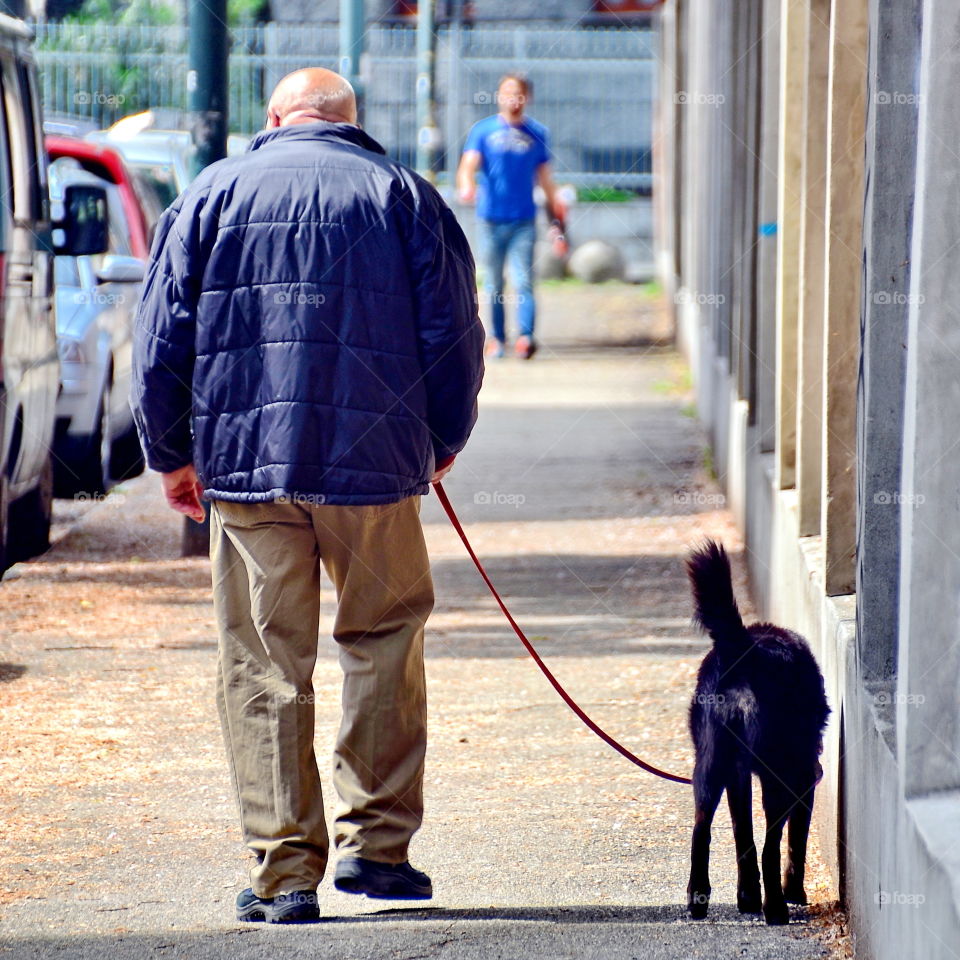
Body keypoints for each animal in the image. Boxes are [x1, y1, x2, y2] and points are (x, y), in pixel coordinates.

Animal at [688, 540, 828, 924]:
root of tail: (742, 648)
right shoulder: (803, 779)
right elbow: (794, 842)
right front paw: (793, 892)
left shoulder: (737, 776)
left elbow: (742, 835)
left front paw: (747, 895)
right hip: (776, 775)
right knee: (771, 845)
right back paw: (776, 907)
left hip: (710, 766)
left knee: (701, 830)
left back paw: (699, 899)